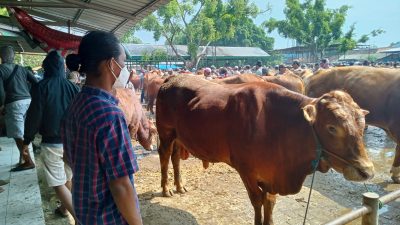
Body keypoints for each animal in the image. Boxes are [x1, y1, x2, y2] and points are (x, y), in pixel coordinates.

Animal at [157, 75, 376, 225]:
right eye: (332, 127)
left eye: (362, 125)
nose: (367, 171)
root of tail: (172, 78)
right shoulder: (246, 170)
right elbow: (257, 201)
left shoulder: (271, 177)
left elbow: (269, 202)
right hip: (165, 132)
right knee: (165, 156)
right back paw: (167, 188)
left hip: (178, 137)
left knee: (175, 158)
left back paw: (179, 185)